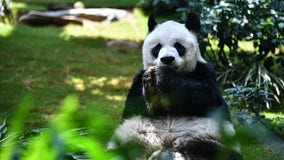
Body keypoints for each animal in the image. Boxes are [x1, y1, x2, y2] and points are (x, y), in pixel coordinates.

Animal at [108, 13, 242, 159]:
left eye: (178, 46)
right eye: (157, 47)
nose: (167, 59)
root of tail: (165, 146)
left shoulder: (205, 71)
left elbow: (206, 96)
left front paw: (163, 76)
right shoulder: (138, 79)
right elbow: (135, 103)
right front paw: (151, 88)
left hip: (209, 138)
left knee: (216, 152)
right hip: (133, 137)